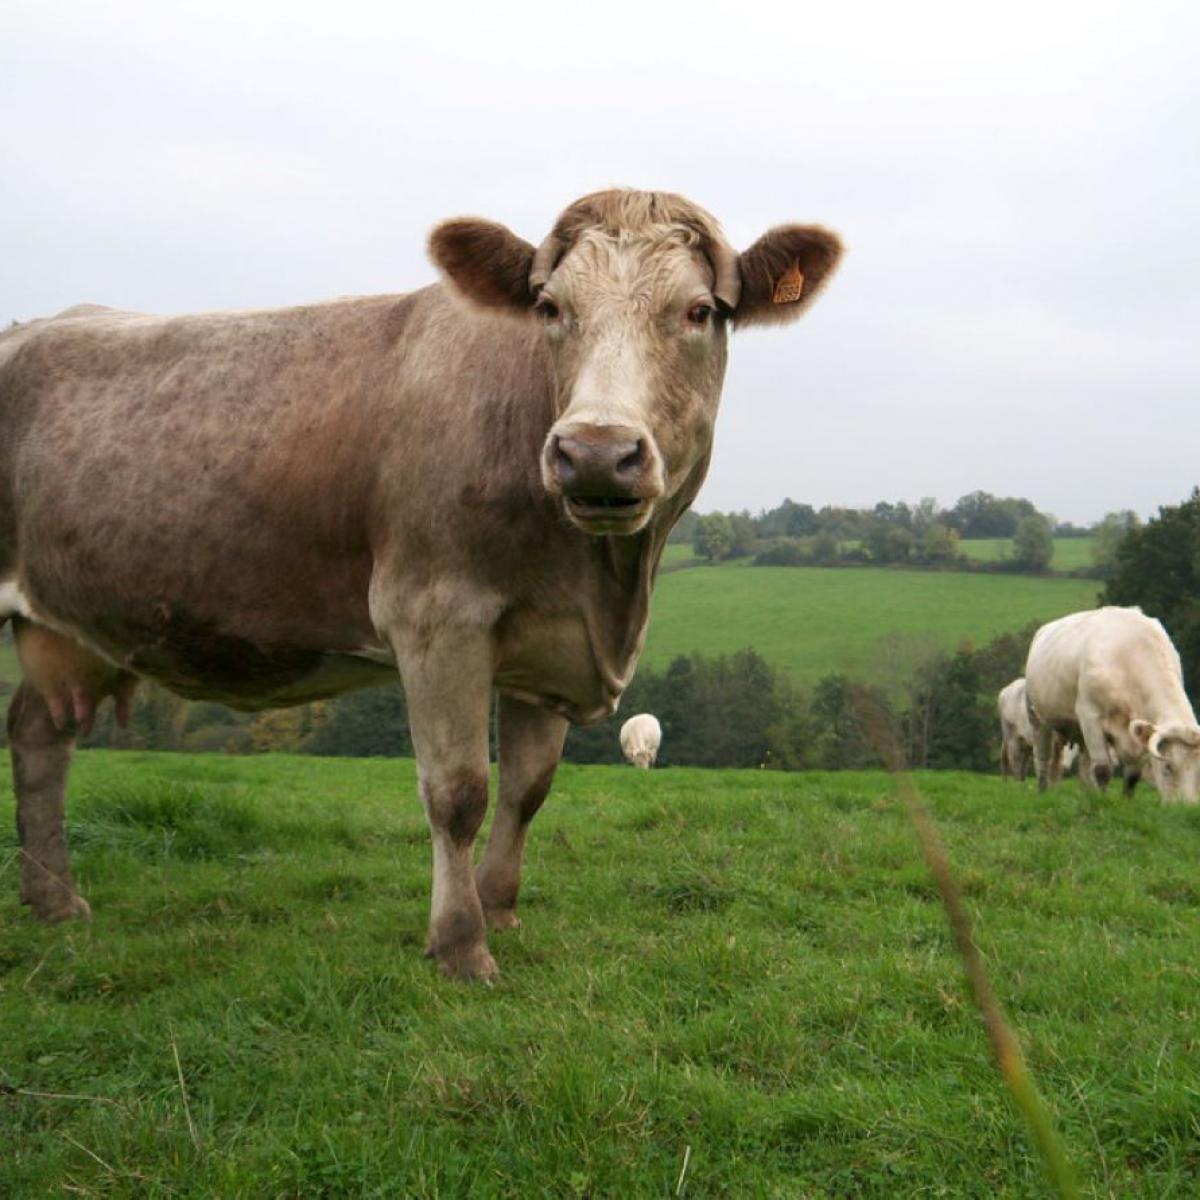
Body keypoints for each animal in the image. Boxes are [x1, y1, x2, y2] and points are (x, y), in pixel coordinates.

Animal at [2, 187, 844, 974]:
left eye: (699, 311)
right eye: (550, 308)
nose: (597, 453)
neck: (603, 585)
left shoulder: (548, 643)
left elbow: (528, 788)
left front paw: (500, 909)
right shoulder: (437, 615)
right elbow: (459, 791)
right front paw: (461, 945)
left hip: (62, 630)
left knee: (39, 735)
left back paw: (56, 901)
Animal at [1022, 604, 1200, 801]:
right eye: (1168, 767)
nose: (1187, 806)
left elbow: (1132, 774)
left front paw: (1125, 802)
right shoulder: (1090, 716)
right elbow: (1102, 769)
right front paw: (1104, 802)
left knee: (1083, 768)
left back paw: (1088, 795)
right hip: (1038, 720)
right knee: (1043, 761)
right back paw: (1043, 792)